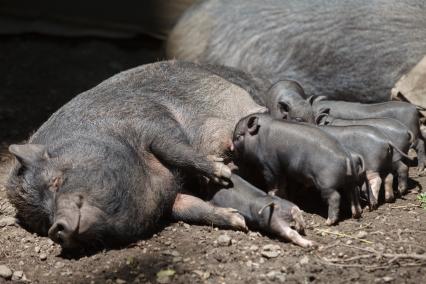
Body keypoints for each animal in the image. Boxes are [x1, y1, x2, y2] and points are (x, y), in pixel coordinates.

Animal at [231, 112, 364, 224]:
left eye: (238, 136)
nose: (230, 149)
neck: (258, 137)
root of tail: (347, 157)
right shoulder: (281, 170)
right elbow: (282, 186)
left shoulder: (269, 165)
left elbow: (273, 184)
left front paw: (270, 193)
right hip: (351, 181)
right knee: (353, 193)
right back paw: (356, 214)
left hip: (327, 184)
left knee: (335, 197)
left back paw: (328, 222)